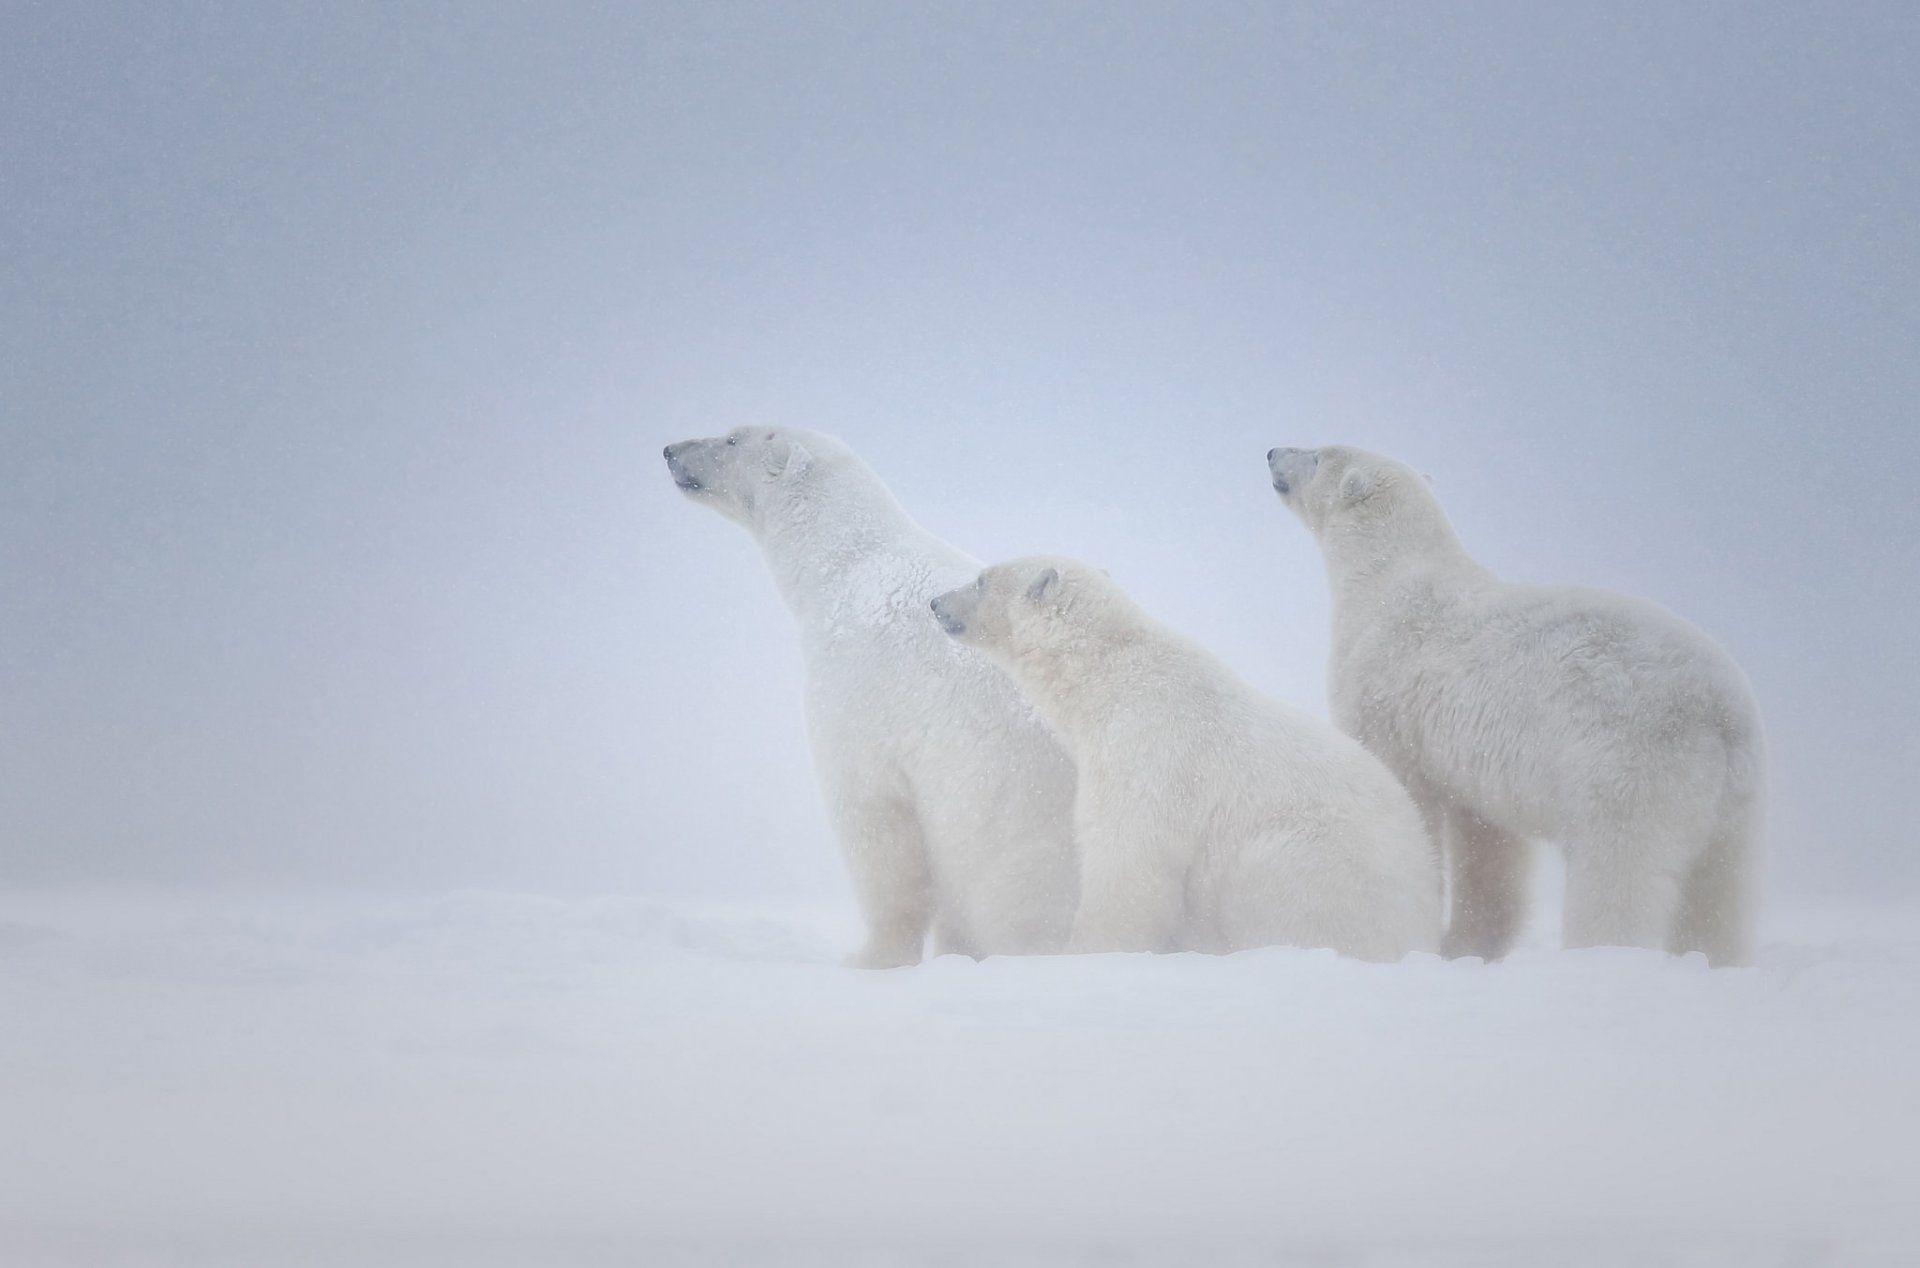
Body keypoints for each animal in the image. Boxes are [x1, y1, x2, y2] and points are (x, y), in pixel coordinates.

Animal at [660, 428, 1082, 972]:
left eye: (732, 439)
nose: (670, 450)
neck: (849, 566)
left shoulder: (862, 698)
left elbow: (876, 826)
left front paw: (870, 958)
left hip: (1030, 839)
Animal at [929, 553, 1443, 960]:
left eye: (982, 579)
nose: (936, 603)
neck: (1109, 674)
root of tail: (1422, 924)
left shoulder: (1146, 746)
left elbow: (1128, 853)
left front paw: (1084, 952)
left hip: (1318, 860)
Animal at [1267, 443, 1758, 960]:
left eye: (1317, 455)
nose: (1272, 452)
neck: (1386, 576)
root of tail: (1720, 713)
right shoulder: (1472, 758)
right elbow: (1487, 839)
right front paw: (1466, 944)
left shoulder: (1385, 690)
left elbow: (1405, 788)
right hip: (1737, 802)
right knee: (1721, 889)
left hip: (1630, 763)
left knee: (1618, 870)